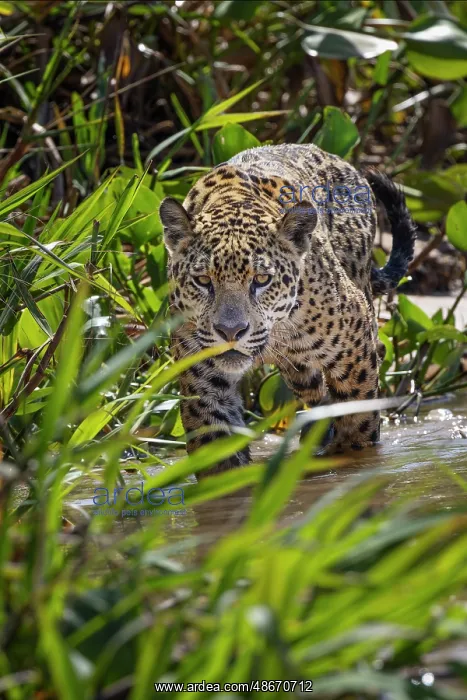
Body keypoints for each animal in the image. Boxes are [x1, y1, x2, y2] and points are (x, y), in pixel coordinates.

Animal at [159, 143, 417, 474]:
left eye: (261, 279)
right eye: (203, 280)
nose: (231, 332)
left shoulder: (354, 339)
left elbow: (358, 417)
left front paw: (351, 458)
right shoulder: (204, 382)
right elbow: (215, 451)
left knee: (377, 350)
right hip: (299, 367)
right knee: (314, 389)